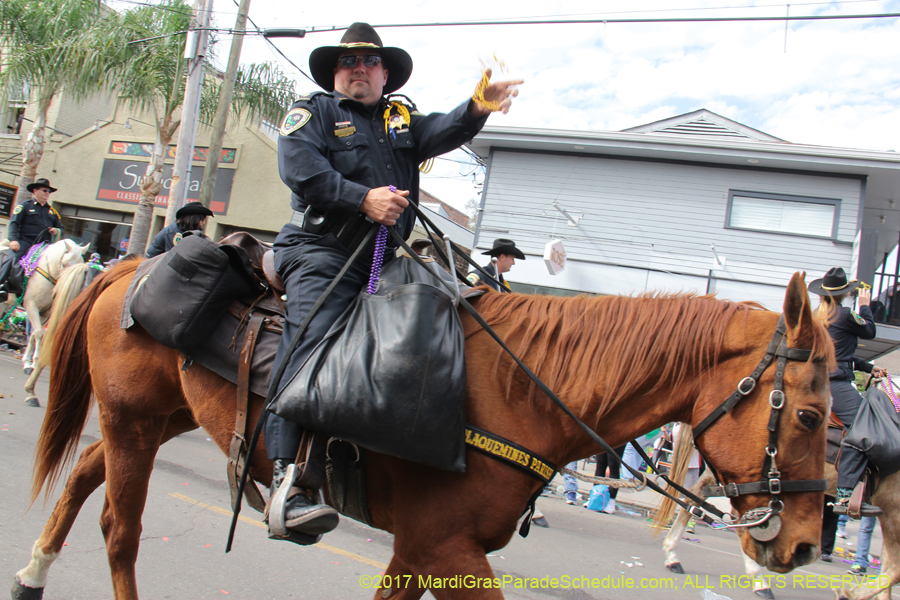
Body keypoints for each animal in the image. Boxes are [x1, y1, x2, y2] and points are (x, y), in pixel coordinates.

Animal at [12, 264, 828, 600]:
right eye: (813, 415)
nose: (806, 546)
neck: (519, 390)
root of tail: (129, 264)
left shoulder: (422, 549)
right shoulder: (449, 552)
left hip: (154, 419)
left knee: (84, 472)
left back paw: (32, 574)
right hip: (134, 423)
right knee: (120, 528)